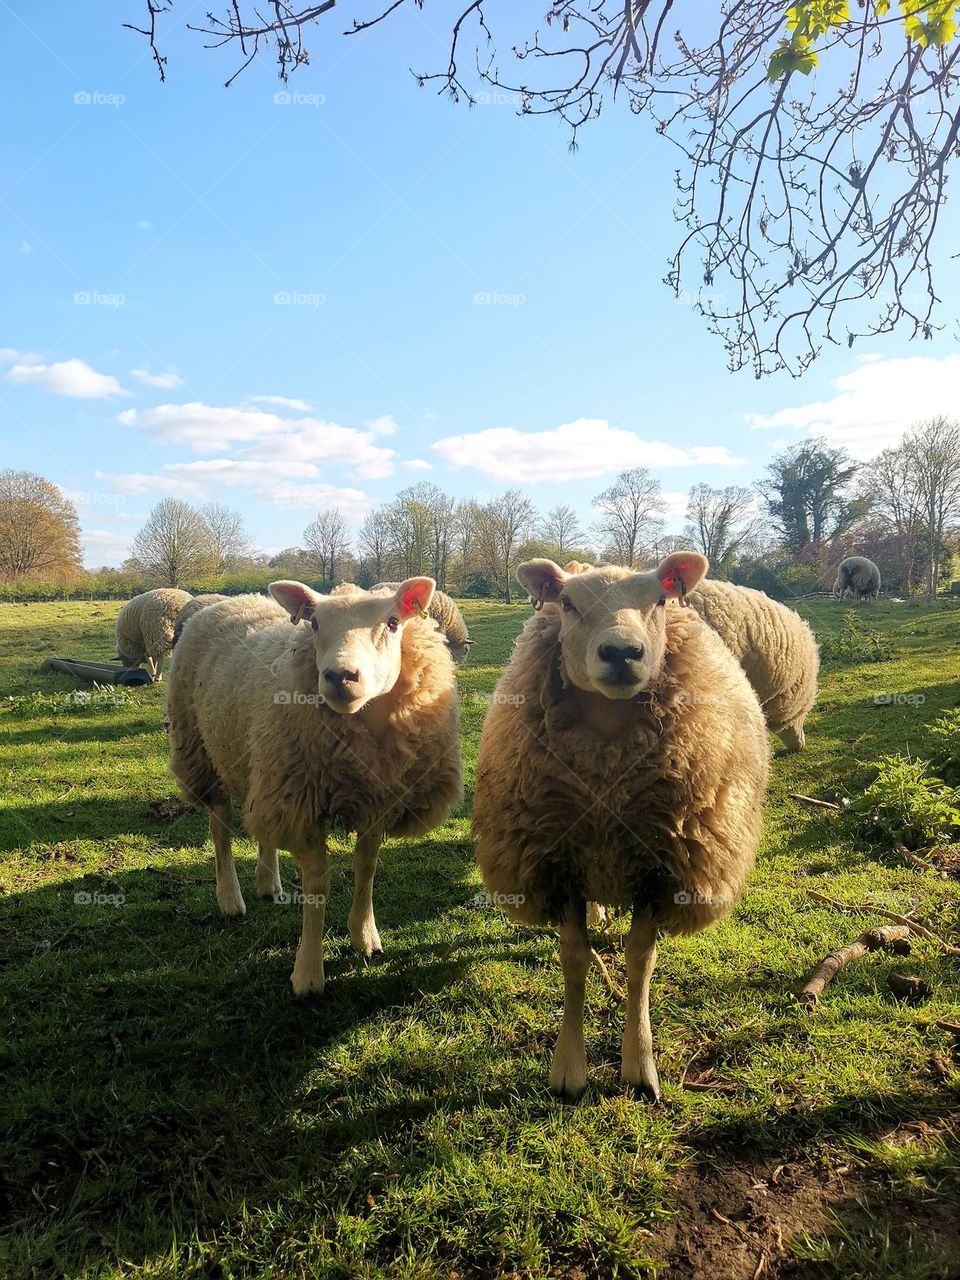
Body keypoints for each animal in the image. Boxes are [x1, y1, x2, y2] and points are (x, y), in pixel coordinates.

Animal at [165, 576, 463, 993]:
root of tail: (230, 600)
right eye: (316, 623)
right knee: (219, 825)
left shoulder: (376, 798)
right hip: (204, 749)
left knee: (263, 824)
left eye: (392, 623)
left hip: (266, 765)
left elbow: (366, 866)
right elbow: (318, 885)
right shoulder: (304, 805)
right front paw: (308, 972)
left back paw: (268, 883)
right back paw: (230, 898)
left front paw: (364, 937)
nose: (340, 676)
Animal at [471, 552, 773, 1100]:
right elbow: (573, 959)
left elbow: (640, 962)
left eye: (659, 600)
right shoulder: (559, 863)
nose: (621, 652)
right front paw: (568, 1069)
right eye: (568, 603)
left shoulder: (662, 868)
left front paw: (640, 1064)